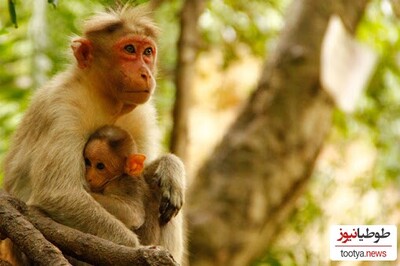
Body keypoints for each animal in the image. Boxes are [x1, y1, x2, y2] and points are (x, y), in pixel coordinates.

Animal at [2, 4, 186, 264]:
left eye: (148, 52)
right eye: (129, 49)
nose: (145, 73)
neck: (105, 98)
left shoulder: (143, 114)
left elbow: (139, 173)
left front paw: (170, 168)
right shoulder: (61, 109)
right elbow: (58, 194)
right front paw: (134, 250)